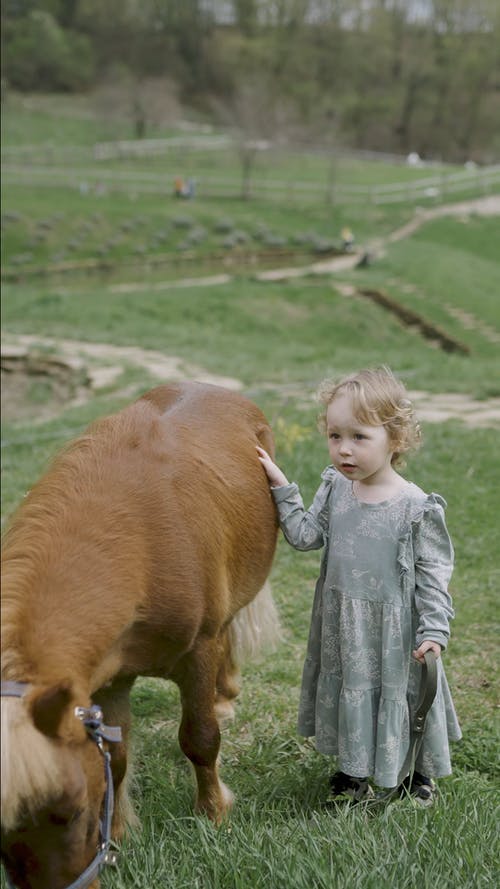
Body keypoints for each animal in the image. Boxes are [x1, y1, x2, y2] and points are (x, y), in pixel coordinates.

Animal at [1, 381, 280, 889]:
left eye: (74, 811)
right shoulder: (109, 678)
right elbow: (117, 756)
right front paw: (120, 831)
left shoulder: (199, 653)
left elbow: (200, 738)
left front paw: (213, 814)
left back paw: (226, 693)